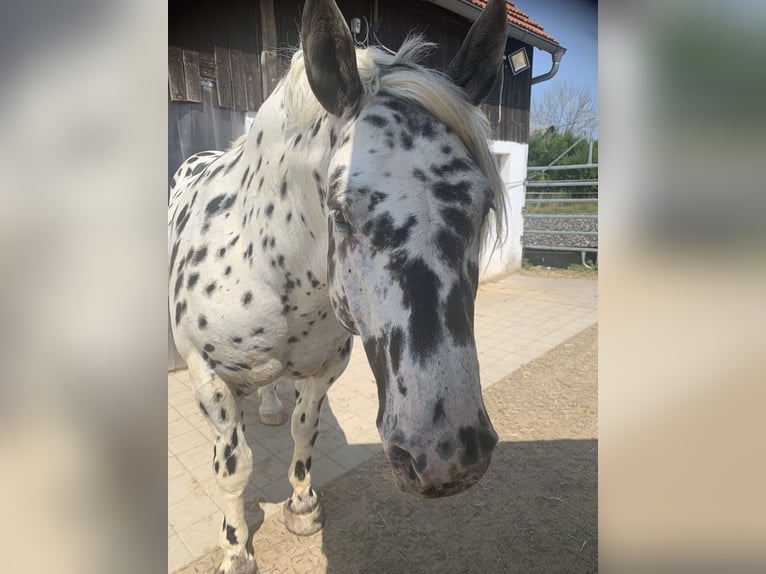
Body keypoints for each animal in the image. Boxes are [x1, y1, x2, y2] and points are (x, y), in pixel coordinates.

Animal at [168, 0, 508, 571]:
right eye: (342, 211)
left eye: (483, 204)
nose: (448, 458)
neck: (270, 272)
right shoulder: (209, 379)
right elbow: (234, 469)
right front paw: (236, 548)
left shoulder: (326, 368)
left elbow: (304, 429)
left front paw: (303, 506)